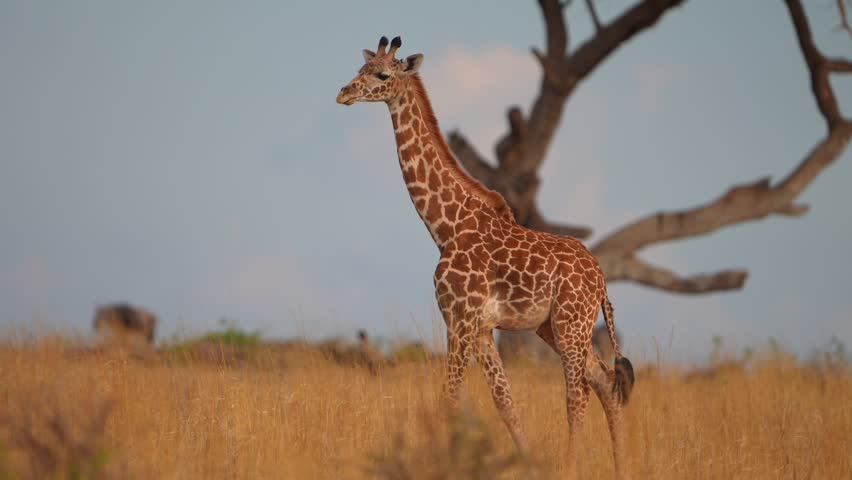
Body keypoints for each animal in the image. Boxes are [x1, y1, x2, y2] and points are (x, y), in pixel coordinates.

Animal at [337, 36, 635, 479]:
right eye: (362, 68)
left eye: (383, 75)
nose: (343, 92)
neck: (445, 226)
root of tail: (600, 278)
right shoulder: (480, 327)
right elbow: (505, 404)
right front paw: (528, 464)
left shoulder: (459, 319)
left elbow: (449, 398)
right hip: (551, 327)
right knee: (603, 381)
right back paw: (621, 466)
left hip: (571, 325)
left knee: (578, 393)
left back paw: (573, 464)